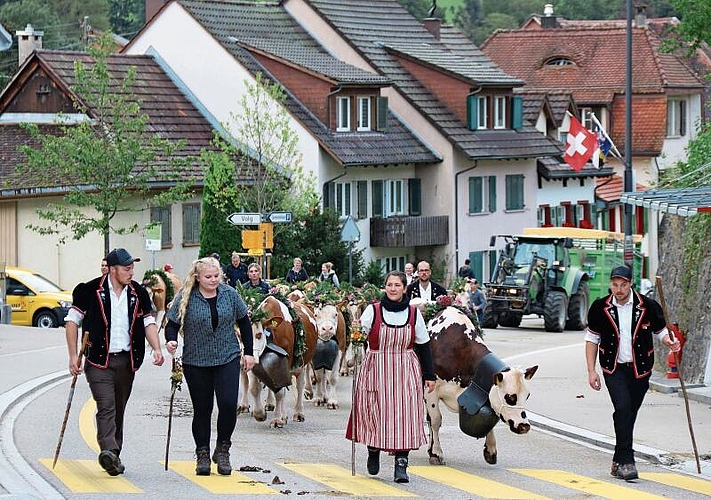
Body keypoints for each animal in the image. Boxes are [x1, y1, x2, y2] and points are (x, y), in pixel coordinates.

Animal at [426, 306, 536, 466]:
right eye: (510, 397)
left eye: (527, 396)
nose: (525, 426)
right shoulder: (430, 391)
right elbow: (435, 420)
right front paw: (435, 453)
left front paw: (490, 449)